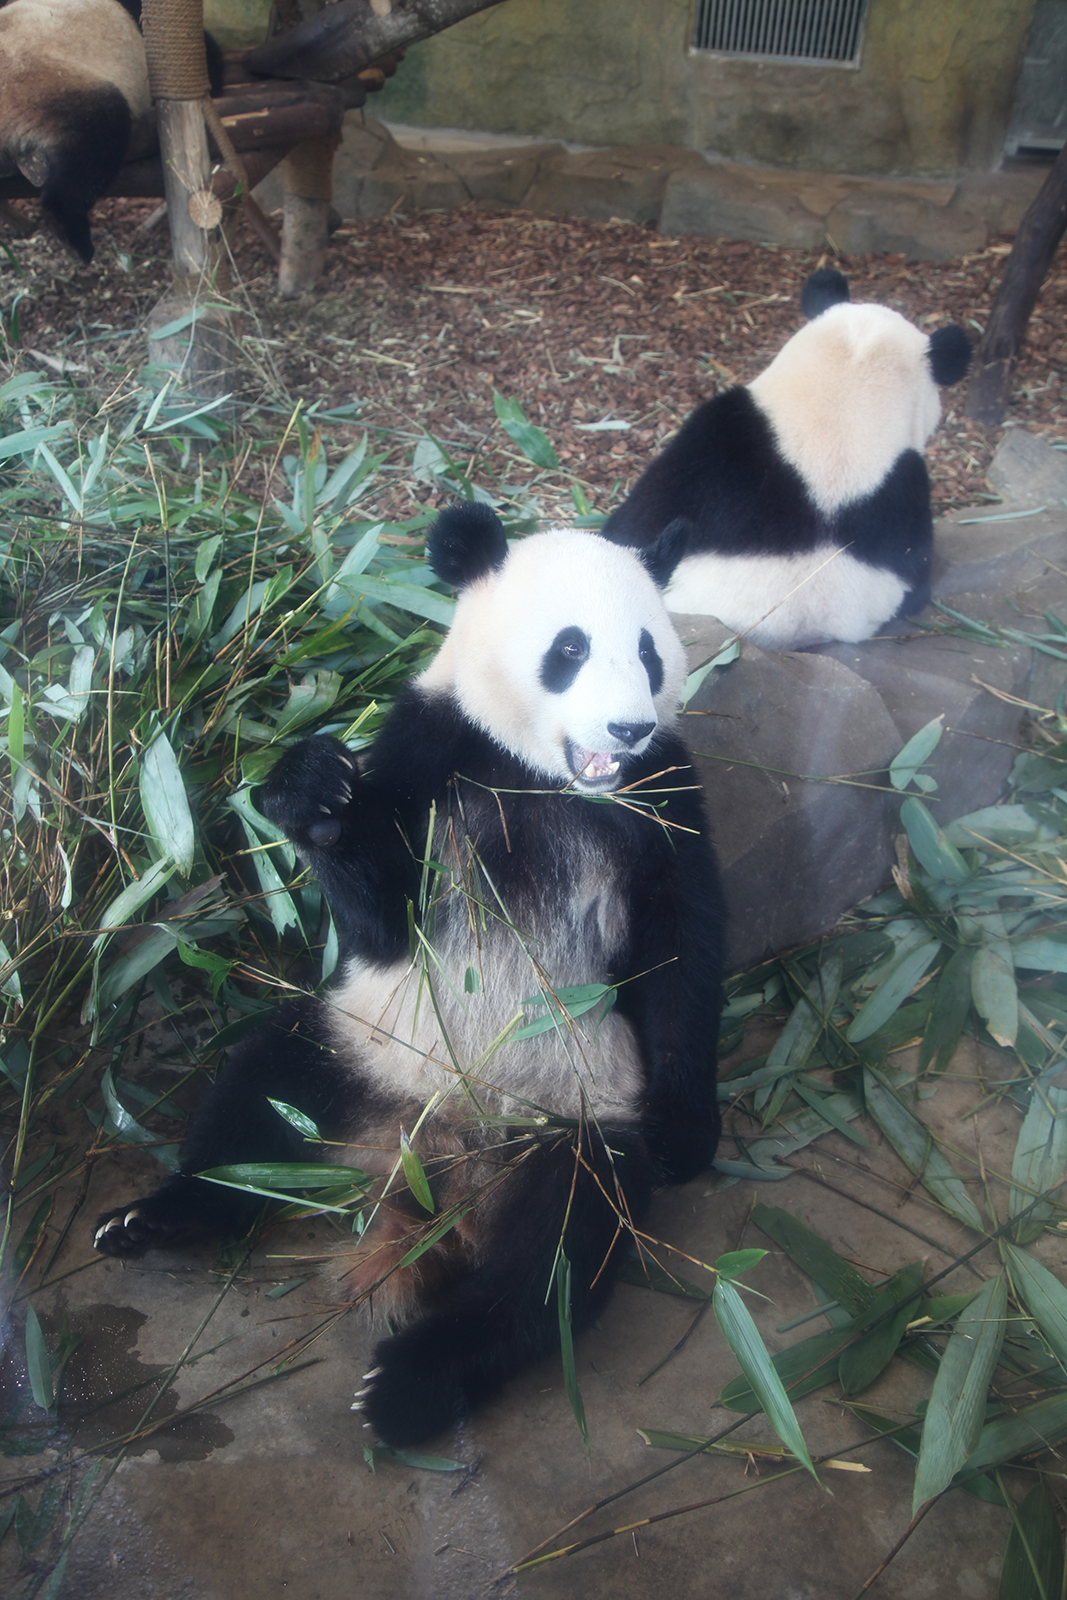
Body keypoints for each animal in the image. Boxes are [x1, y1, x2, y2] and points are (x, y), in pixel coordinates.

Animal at [94, 504, 725, 1448]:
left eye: (648, 652)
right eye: (569, 649)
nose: (626, 729)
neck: (545, 778)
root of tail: (428, 1161)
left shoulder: (662, 793)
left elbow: (681, 950)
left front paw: (688, 1133)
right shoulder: (430, 750)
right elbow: (381, 919)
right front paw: (313, 795)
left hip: (574, 1117)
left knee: (558, 1253)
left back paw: (412, 1383)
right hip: (358, 1041)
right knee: (256, 1094)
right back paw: (160, 1217)